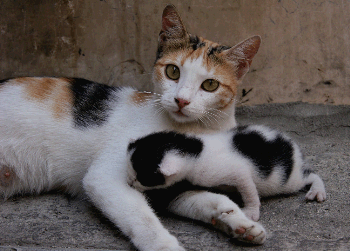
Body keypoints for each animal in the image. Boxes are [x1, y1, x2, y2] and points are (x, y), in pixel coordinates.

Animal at [0, 3, 262, 251]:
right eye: (173, 71)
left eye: (210, 85)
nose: (181, 100)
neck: (196, 131)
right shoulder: (105, 176)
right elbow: (141, 216)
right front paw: (165, 246)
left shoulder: (173, 186)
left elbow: (213, 200)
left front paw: (241, 222)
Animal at [127, 124, 326, 221]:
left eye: (140, 178)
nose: (129, 183)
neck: (196, 149)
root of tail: (291, 145)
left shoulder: (237, 172)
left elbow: (248, 189)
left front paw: (251, 212)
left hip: (286, 180)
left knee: (310, 175)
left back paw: (317, 190)